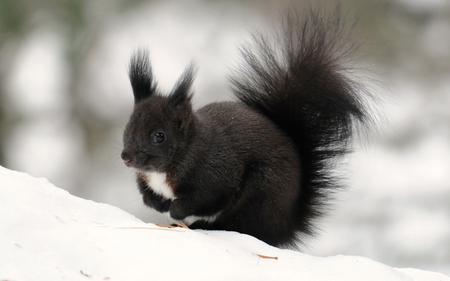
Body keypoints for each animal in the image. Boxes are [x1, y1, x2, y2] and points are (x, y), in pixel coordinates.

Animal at [120, 6, 372, 247]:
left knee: (241, 226)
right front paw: (157, 203)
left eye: (159, 136)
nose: (126, 157)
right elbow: (147, 195)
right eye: (128, 127)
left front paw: (174, 209)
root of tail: (286, 226)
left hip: (259, 195)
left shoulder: (215, 175)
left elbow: (204, 200)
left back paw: (202, 225)